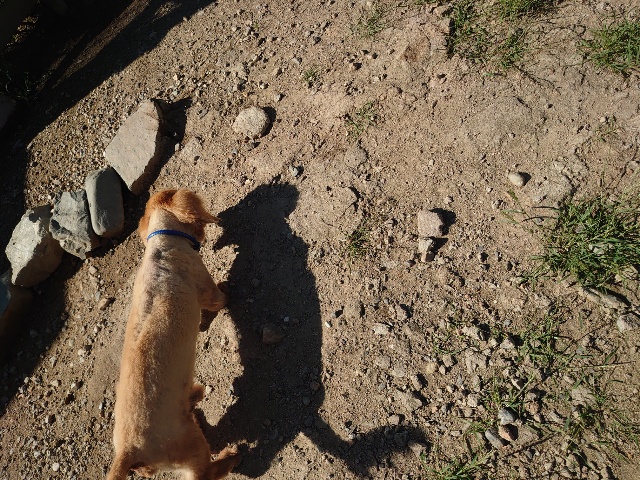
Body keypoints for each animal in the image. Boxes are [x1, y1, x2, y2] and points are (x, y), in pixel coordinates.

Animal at [107, 189, 240, 480]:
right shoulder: (204, 284)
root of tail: (127, 452)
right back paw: (230, 456)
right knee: (205, 472)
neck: (162, 242)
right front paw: (228, 290)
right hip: (190, 444)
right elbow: (218, 299)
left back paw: (194, 396)